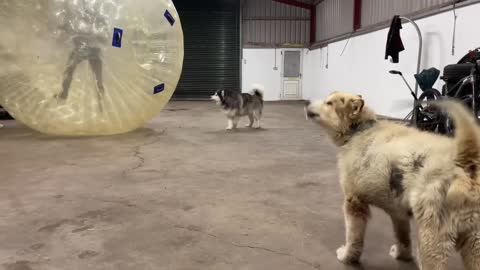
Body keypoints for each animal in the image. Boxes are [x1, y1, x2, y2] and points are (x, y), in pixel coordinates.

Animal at [306, 92, 480, 268]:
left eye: (329, 103)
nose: (307, 103)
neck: (359, 130)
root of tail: (465, 161)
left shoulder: (354, 201)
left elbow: (353, 238)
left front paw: (347, 257)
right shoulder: (398, 212)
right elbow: (402, 236)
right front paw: (402, 255)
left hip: (432, 238)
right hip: (473, 241)